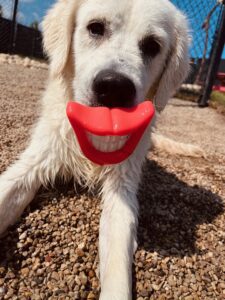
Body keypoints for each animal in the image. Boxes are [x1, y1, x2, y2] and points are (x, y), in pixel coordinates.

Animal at [0, 1, 190, 298]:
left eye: (152, 46)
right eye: (96, 28)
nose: (114, 87)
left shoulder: (121, 191)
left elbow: (117, 267)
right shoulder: (36, 160)